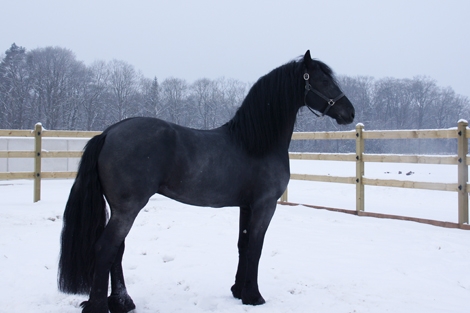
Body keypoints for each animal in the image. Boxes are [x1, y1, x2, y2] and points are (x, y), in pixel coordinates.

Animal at [57, 50, 352, 310]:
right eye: (323, 81)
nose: (350, 112)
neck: (255, 143)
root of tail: (109, 133)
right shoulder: (265, 205)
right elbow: (255, 248)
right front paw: (254, 296)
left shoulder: (246, 206)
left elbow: (243, 245)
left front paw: (238, 291)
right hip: (128, 209)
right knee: (106, 249)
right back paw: (98, 306)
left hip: (120, 209)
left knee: (117, 250)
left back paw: (123, 302)